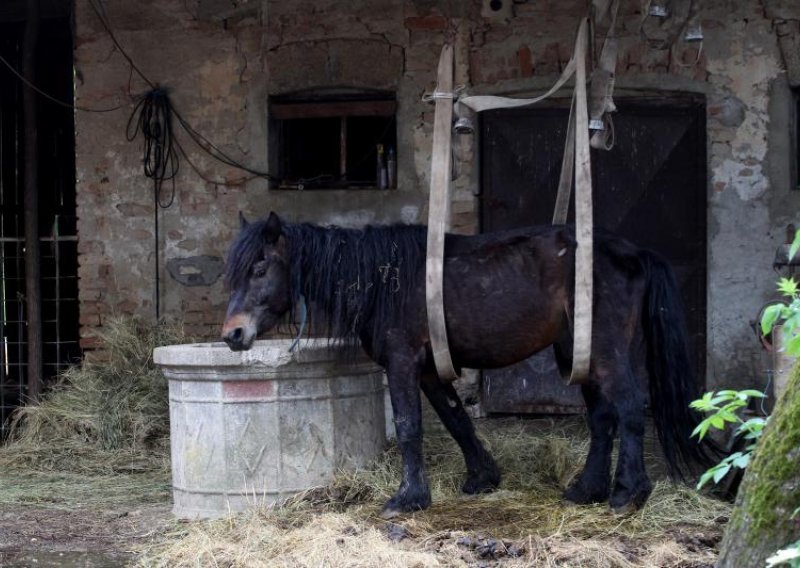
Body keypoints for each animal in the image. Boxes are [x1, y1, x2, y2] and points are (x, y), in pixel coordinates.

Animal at [219, 211, 712, 516]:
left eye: (259, 269)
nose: (232, 335)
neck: (385, 279)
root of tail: (631, 253)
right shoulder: (429, 370)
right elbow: (456, 419)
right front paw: (483, 478)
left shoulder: (402, 363)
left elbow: (409, 427)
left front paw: (409, 498)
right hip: (580, 355)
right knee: (603, 419)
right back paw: (586, 490)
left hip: (605, 354)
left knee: (628, 410)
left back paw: (628, 493)